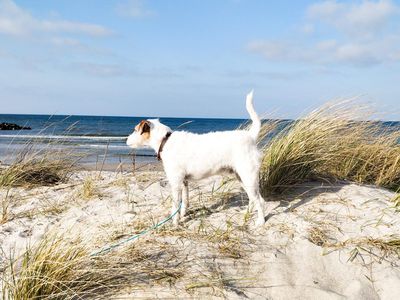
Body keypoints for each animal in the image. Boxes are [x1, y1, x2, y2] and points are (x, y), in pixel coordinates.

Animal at [126, 91, 268, 225]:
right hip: (241, 177)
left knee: (259, 200)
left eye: (135, 130)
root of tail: (250, 136)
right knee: (253, 198)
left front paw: (175, 222)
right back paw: (246, 214)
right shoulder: (184, 182)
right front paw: (183, 215)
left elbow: (175, 205)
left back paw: (260, 221)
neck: (165, 141)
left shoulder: (175, 183)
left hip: (248, 176)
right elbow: (185, 201)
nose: (126, 140)